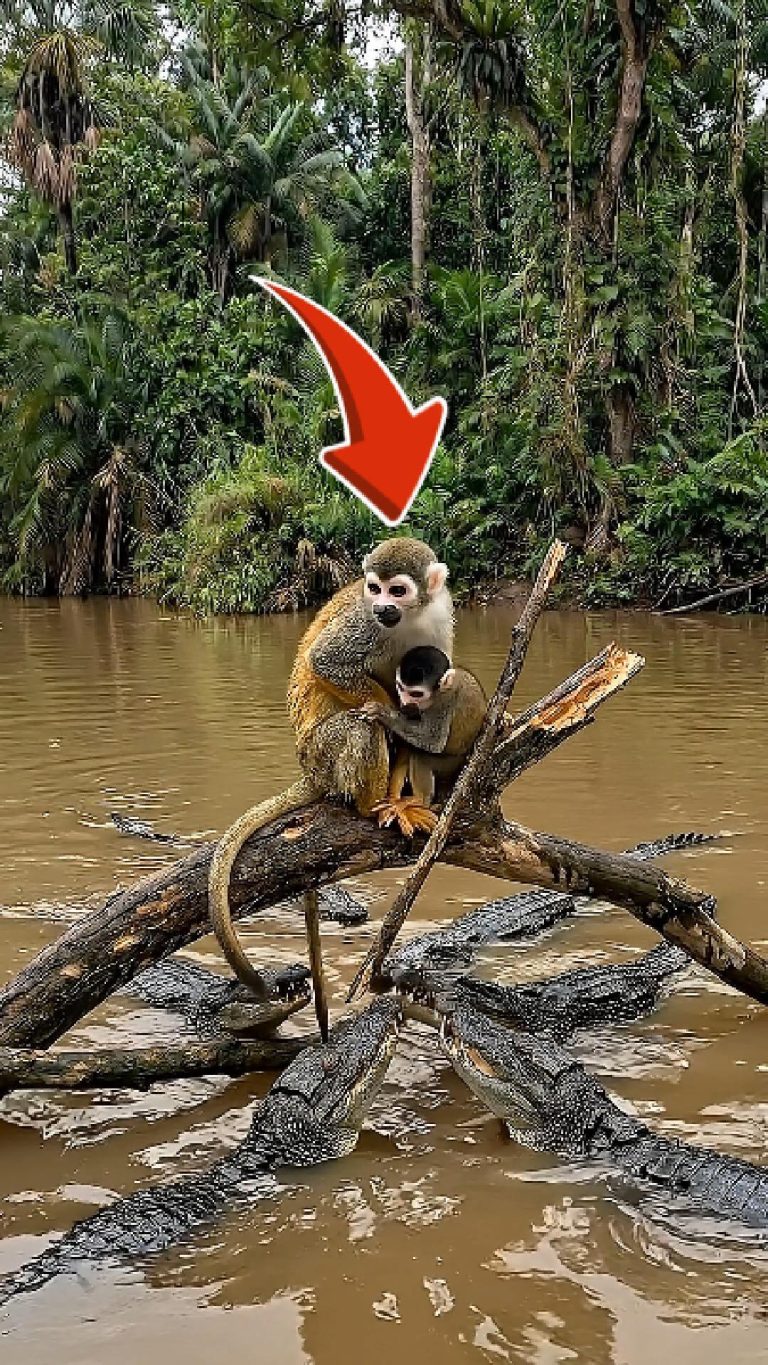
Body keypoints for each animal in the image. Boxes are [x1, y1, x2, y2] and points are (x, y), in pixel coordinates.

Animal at [208, 538, 454, 1011]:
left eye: (397, 591)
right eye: (374, 588)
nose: (381, 607)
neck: (410, 619)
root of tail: (310, 769)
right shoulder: (363, 622)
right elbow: (326, 661)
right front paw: (390, 711)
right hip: (322, 754)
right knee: (360, 727)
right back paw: (373, 804)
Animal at [361, 645, 487, 837]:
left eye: (416, 693)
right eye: (401, 688)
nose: (405, 702)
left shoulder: (444, 698)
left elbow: (433, 740)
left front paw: (383, 713)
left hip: (449, 765)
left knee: (421, 755)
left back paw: (419, 801)